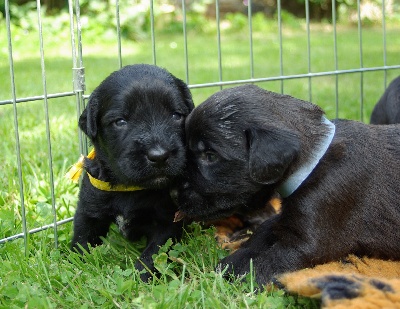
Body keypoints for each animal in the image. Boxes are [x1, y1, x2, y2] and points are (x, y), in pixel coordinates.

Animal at [69, 63, 195, 278]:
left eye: (176, 115)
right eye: (120, 121)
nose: (159, 155)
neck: (129, 187)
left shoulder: (167, 221)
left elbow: (153, 254)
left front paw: (140, 276)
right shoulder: (89, 208)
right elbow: (81, 240)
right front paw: (72, 267)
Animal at [174, 83, 400, 284]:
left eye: (210, 156)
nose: (173, 192)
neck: (313, 161)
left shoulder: (308, 243)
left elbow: (268, 261)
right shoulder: (284, 219)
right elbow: (261, 233)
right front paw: (230, 262)